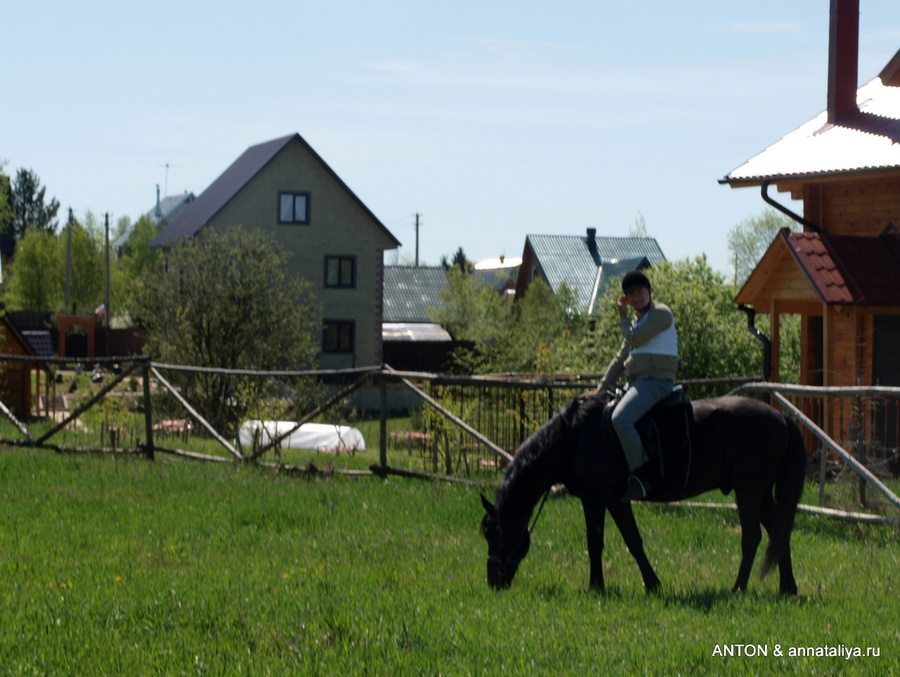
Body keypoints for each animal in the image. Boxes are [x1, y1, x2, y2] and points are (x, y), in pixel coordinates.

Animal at [482, 390, 804, 592]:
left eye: (496, 534)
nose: (493, 581)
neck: (572, 438)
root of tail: (782, 418)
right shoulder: (591, 499)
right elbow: (594, 542)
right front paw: (595, 586)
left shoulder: (614, 498)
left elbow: (633, 540)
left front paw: (653, 584)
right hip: (761, 493)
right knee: (779, 531)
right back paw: (787, 588)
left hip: (748, 490)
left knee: (752, 538)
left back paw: (738, 587)